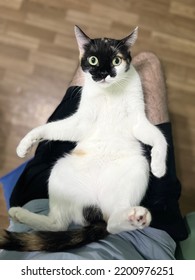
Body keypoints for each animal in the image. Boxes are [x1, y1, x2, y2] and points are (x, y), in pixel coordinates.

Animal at [0, 26, 167, 252]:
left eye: (116, 60)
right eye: (93, 60)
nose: (103, 74)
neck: (109, 93)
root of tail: (95, 207)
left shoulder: (137, 120)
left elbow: (159, 137)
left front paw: (159, 167)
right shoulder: (81, 122)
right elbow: (53, 128)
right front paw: (25, 143)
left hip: (138, 167)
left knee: (111, 223)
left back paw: (135, 217)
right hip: (59, 172)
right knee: (58, 224)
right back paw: (19, 213)